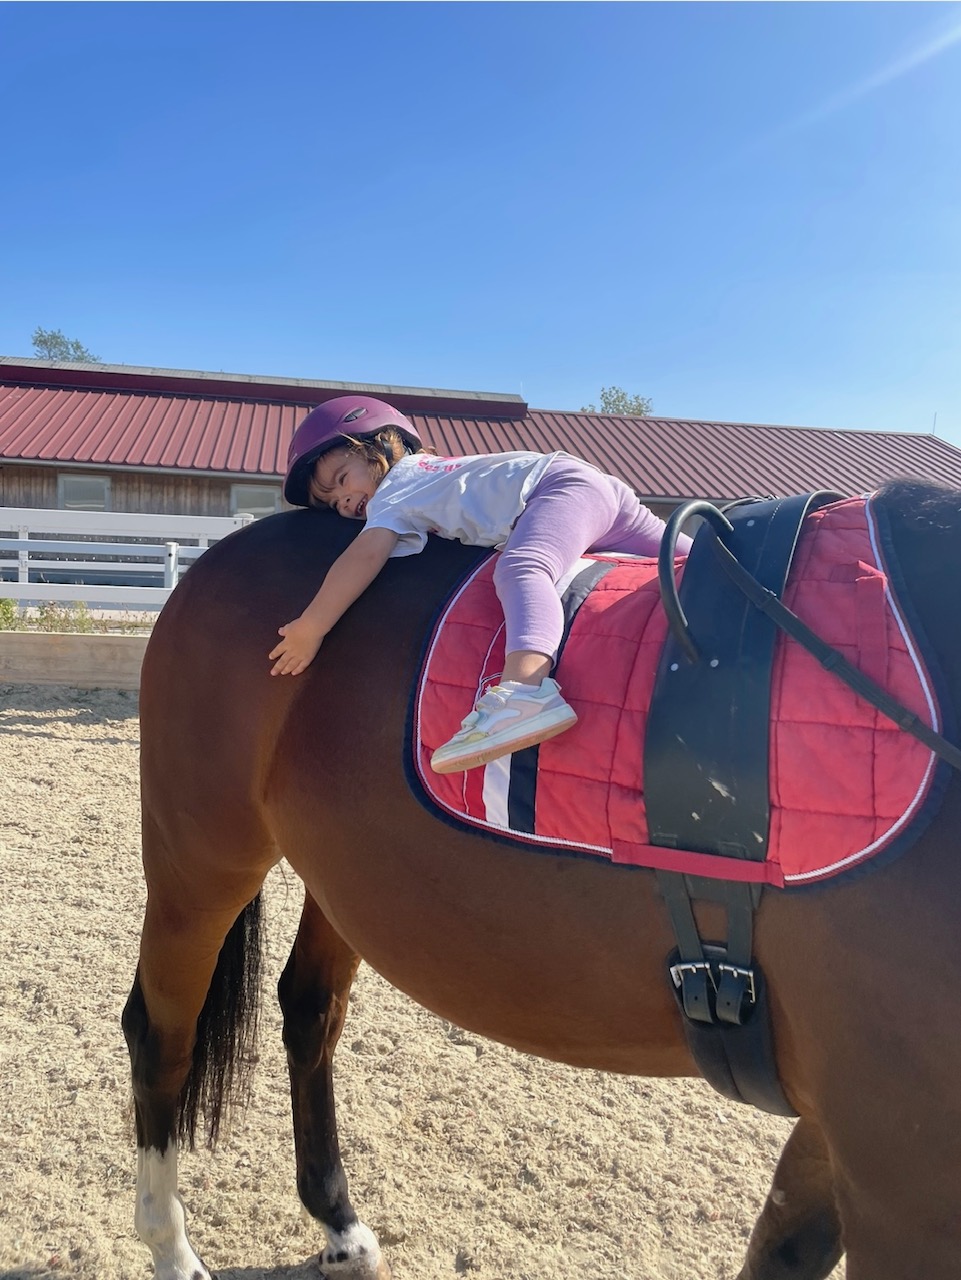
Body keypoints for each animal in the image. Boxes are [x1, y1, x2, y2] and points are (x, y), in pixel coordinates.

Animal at [124, 478, 961, 1280]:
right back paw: (171, 1250)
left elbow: (781, 1251)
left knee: (307, 1010)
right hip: (200, 857)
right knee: (161, 1030)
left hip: (339, 876)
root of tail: (218, 562)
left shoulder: (846, 1134)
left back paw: (338, 1226)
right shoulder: (900, 1175)